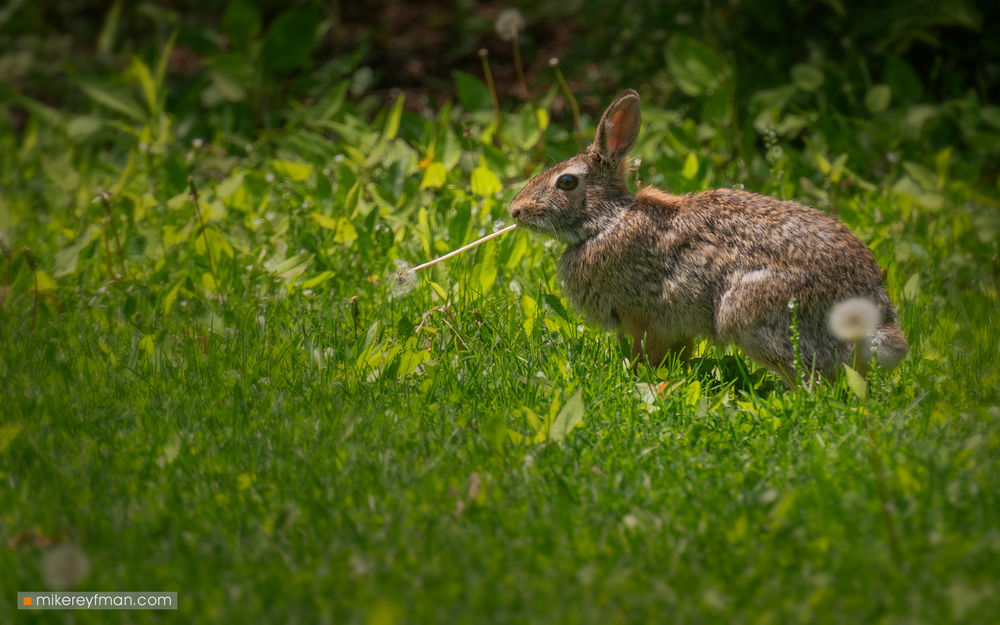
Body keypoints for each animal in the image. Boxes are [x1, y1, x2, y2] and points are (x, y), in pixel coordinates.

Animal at [512, 89, 912, 386]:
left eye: (566, 182)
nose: (515, 210)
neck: (607, 221)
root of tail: (876, 324)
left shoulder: (646, 318)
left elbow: (647, 355)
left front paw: (643, 380)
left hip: (750, 312)